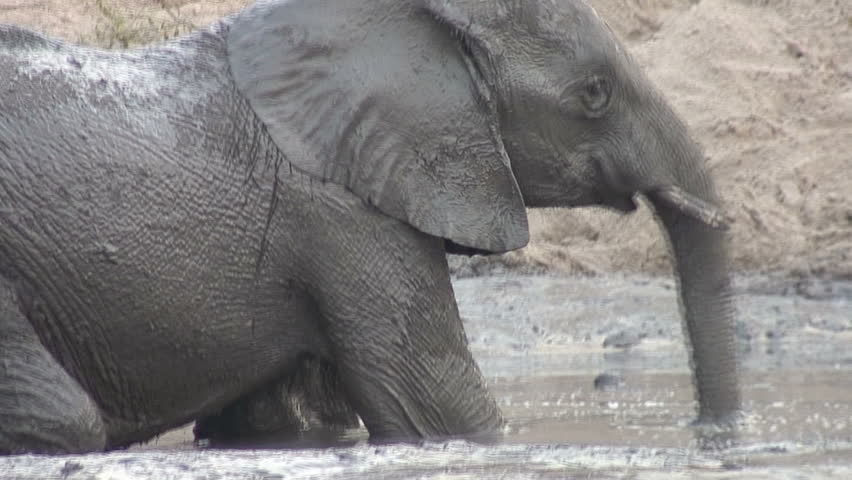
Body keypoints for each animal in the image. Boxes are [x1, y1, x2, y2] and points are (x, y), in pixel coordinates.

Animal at [0, 0, 740, 454]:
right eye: (594, 94)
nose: (705, 428)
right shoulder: (345, 214)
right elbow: (441, 412)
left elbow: (284, 422)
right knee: (64, 419)